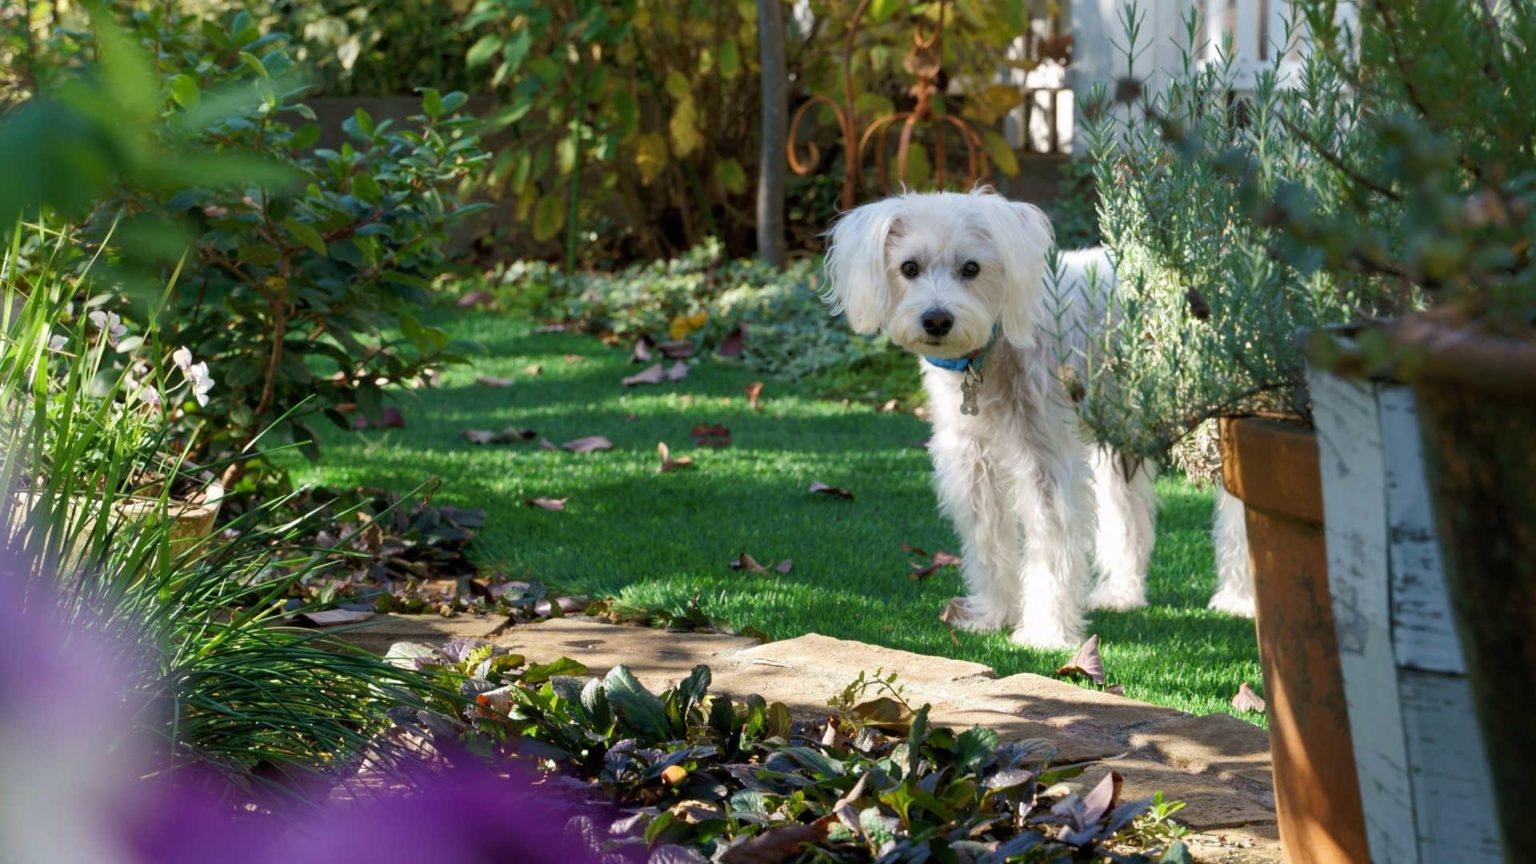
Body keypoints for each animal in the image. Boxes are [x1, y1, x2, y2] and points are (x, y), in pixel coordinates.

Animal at [823, 189, 1253, 645]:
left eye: (971, 268)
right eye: (909, 267)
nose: (937, 320)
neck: (989, 354)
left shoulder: (1047, 463)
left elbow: (1050, 546)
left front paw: (1045, 633)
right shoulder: (973, 464)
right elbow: (989, 544)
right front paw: (993, 615)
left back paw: (1239, 599)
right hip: (1119, 436)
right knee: (1127, 516)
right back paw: (1120, 594)